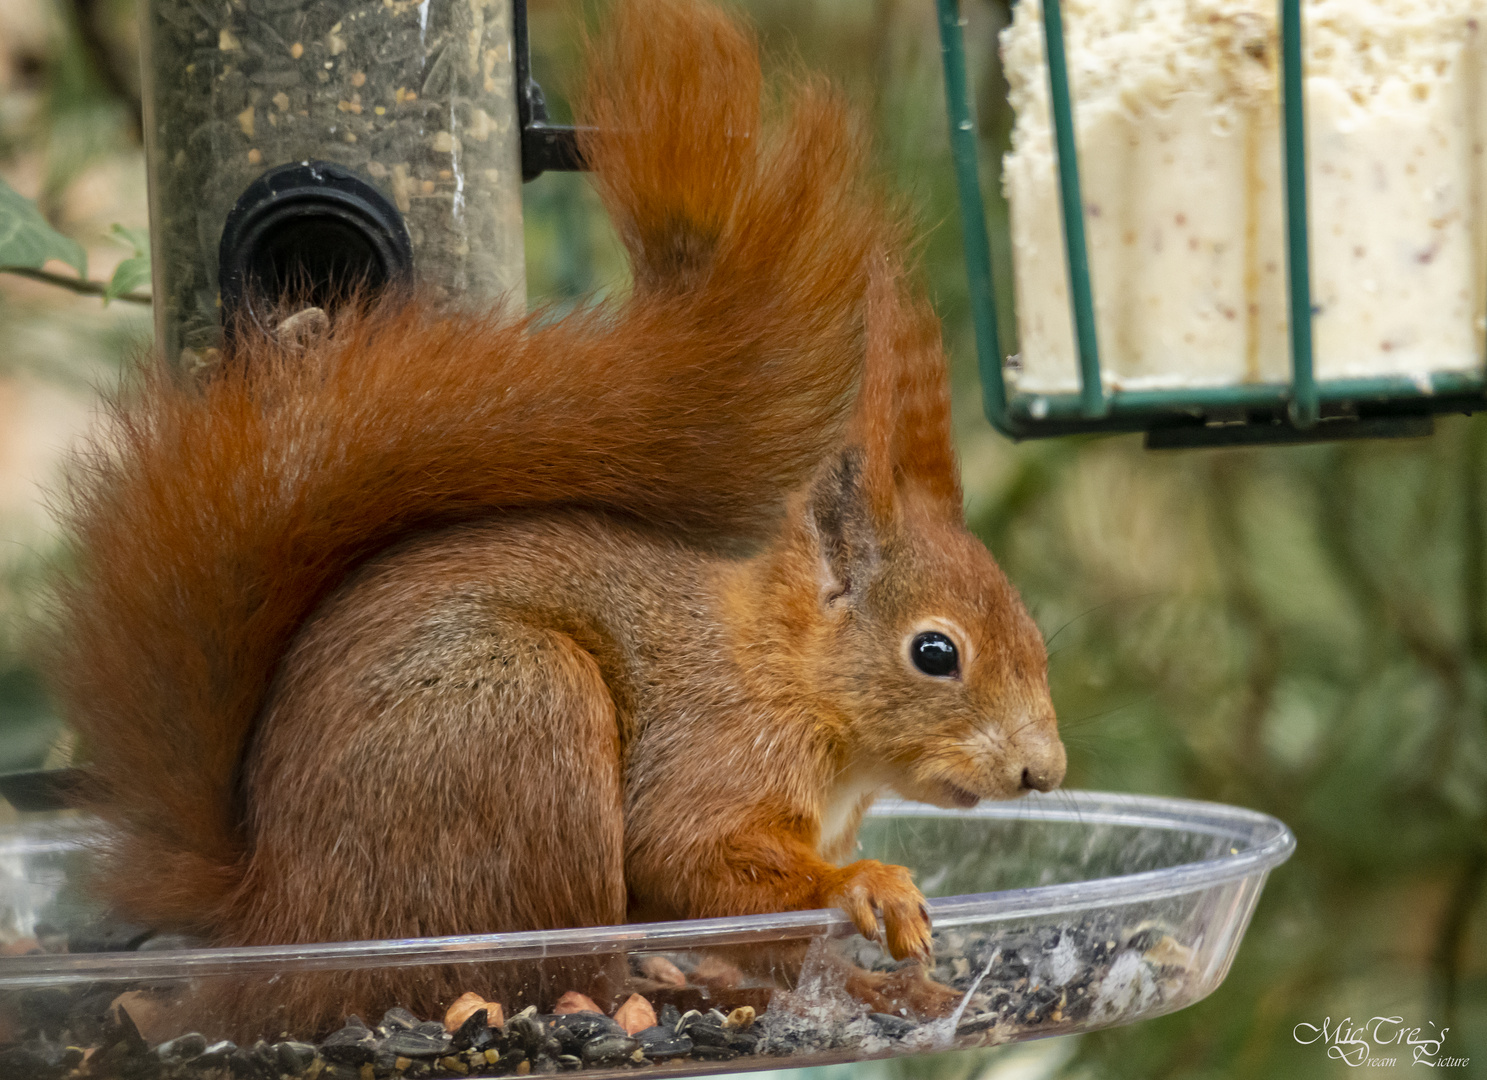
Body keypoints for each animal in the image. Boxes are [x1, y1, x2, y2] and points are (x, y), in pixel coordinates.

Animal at [49, 0, 1058, 1041]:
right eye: (934, 653)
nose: (1044, 773)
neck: (785, 675)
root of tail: (276, 920)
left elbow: (771, 941)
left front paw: (888, 983)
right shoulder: (712, 751)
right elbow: (688, 855)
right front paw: (866, 887)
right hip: (524, 723)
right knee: (543, 976)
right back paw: (650, 996)